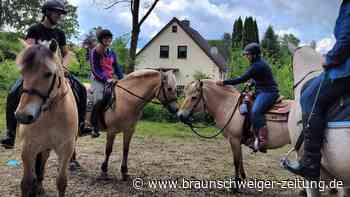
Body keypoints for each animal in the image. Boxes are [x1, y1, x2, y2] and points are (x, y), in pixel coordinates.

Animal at [15, 40, 78, 197]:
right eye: (23, 73)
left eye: (48, 74)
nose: (23, 116)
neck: (50, 114)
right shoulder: (28, 148)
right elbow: (25, 183)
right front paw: (31, 186)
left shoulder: (66, 149)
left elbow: (61, 182)